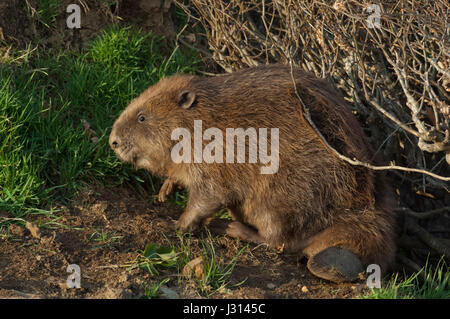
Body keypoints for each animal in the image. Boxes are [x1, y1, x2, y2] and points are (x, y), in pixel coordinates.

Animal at [110, 64, 398, 282]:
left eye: (142, 117)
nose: (113, 141)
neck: (202, 121)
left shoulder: (217, 159)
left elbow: (209, 195)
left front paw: (180, 223)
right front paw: (165, 190)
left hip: (280, 198)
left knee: (280, 241)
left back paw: (228, 227)